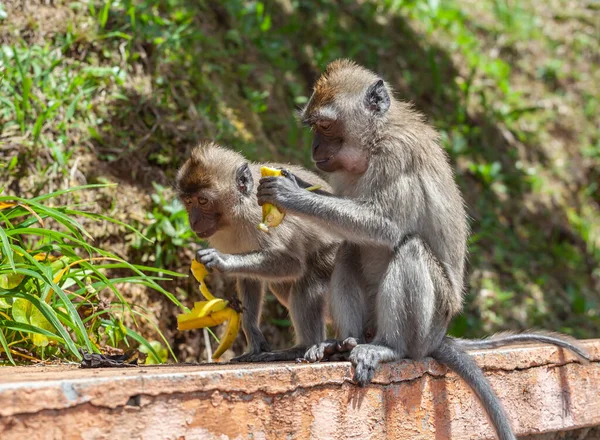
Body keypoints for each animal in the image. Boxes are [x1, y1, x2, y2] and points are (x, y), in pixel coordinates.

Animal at [176, 143, 340, 362]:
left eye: (202, 200)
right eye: (188, 201)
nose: (193, 221)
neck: (237, 211)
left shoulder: (260, 215)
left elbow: (293, 263)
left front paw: (221, 260)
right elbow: (249, 277)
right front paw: (253, 337)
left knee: (308, 283)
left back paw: (302, 347)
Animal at [255, 59, 588, 440]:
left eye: (325, 125)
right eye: (312, 126)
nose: (313, 149)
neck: (376, 138)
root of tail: (437, 338)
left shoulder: (396, 155)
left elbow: (385, 228)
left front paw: (289, 193)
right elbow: (356, 233)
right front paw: (294, 181)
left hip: (428, 324)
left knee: (409, 248)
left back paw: (388, 348)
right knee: (351, 250)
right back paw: (343, 343)